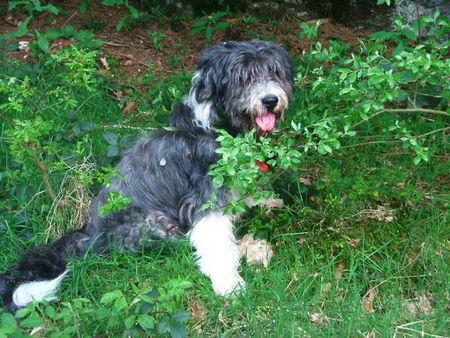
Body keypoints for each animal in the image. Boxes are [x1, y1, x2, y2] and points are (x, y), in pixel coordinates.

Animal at [0, 40, 294, 312]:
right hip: (154, 222)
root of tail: (90, 231)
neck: (217, 124)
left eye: (274, 72)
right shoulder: (204, 200)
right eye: (244, 78)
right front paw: (229, 284)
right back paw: (250, 248)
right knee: (180, 245)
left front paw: (266, 200)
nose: (270, 100)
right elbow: (215, 243)